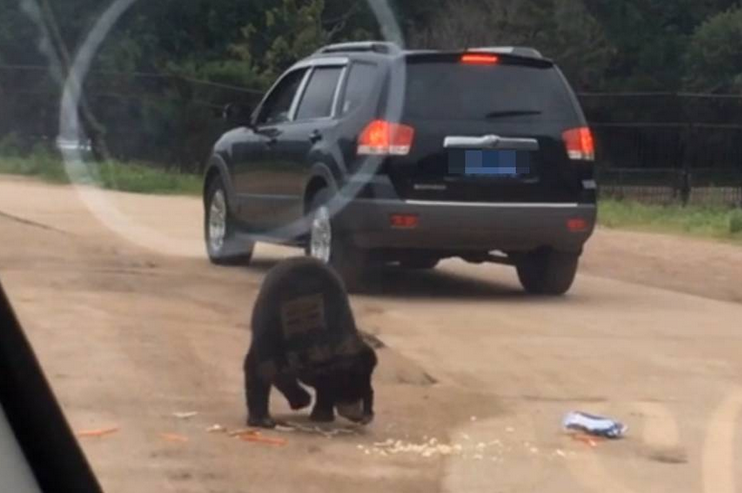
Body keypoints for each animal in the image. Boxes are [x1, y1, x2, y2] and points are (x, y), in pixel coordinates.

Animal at [244, 258, 378, 426]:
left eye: (367, 377)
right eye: (345, 380)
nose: (358, 413)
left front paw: (322, 412)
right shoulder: (269, 326)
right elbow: (265, 366)